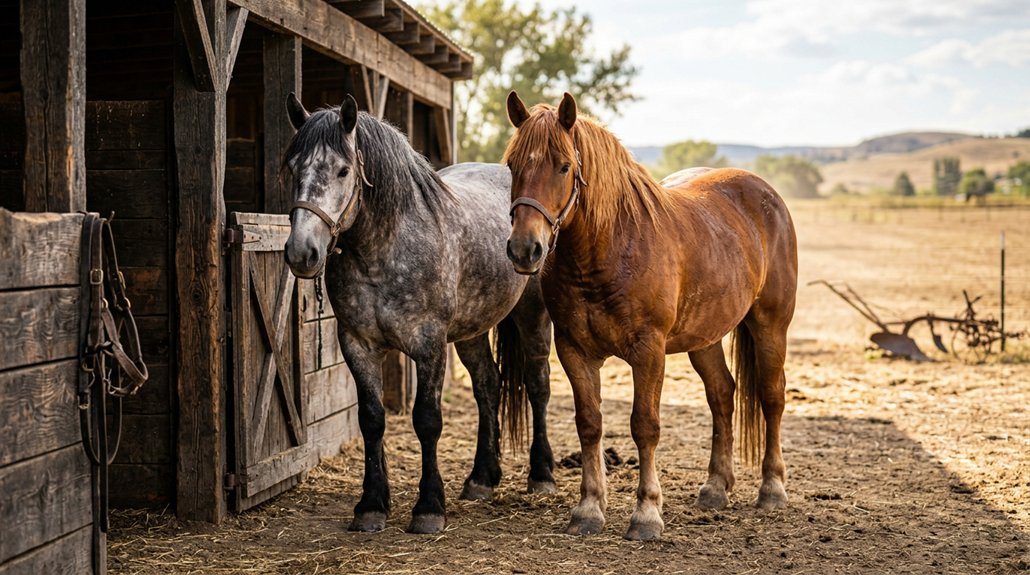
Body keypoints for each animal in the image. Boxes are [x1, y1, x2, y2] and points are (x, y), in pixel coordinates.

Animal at [282, 93, 555, 534]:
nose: (301, 253)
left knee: (537, 384)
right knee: (488, 386)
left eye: (343, 170)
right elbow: (372, 420)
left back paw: (542, 474)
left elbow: (427, 420)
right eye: (293, 167)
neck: (383, 250)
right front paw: (371, 505)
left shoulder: (429, 346)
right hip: (471, 331)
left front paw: (428, 508)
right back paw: (482, 478)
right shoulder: (358, 345)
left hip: (532, 316)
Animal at [502, 91, 798, 541]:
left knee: (771, 396)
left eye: (564, 165)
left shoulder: (648, 351)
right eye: (512, 166)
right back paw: (716, 487)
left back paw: (772, 489)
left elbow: (645, 426)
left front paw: (646, 514)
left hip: (770, 325)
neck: (609, 248)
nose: (524, 249)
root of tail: (766, 193)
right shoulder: (574, 350)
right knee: (722, 395)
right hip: (705, 337)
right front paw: (589, 509)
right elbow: (589, 423)